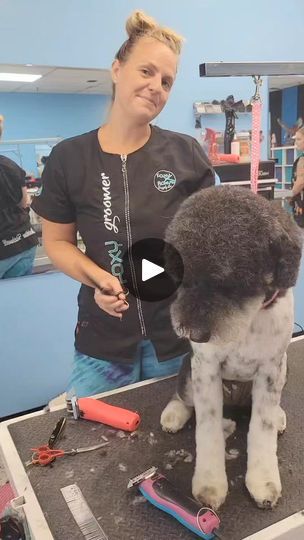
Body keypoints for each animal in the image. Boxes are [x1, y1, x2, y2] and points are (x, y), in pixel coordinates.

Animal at [162, 186, 302, 510]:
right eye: (180, 278)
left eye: (229, 282)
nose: (194, 334)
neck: (247, 321)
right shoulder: (206, 369)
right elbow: (208, 428)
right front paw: (210, 484)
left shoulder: (271, 370)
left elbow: (262, 428)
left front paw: (262, 481)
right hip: (189, 371)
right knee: (182, 395)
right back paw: (174, 412)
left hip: (284, 370)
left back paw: (278, 415)